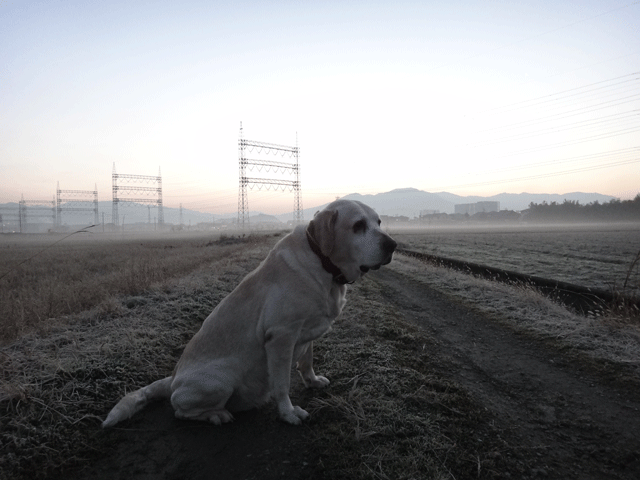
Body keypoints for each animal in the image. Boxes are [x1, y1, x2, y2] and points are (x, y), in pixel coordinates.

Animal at [102, 199, 396, 428]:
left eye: (379, 222)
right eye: (358, 226)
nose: (393, 245)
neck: (324, 266)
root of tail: (172, 378)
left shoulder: (307, 332)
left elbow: (307, 361)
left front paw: (312, 381)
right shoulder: (280, 337)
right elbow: (281, 384)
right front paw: (288, 413)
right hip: (220, 379)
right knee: (179, 410)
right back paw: (217, 415)